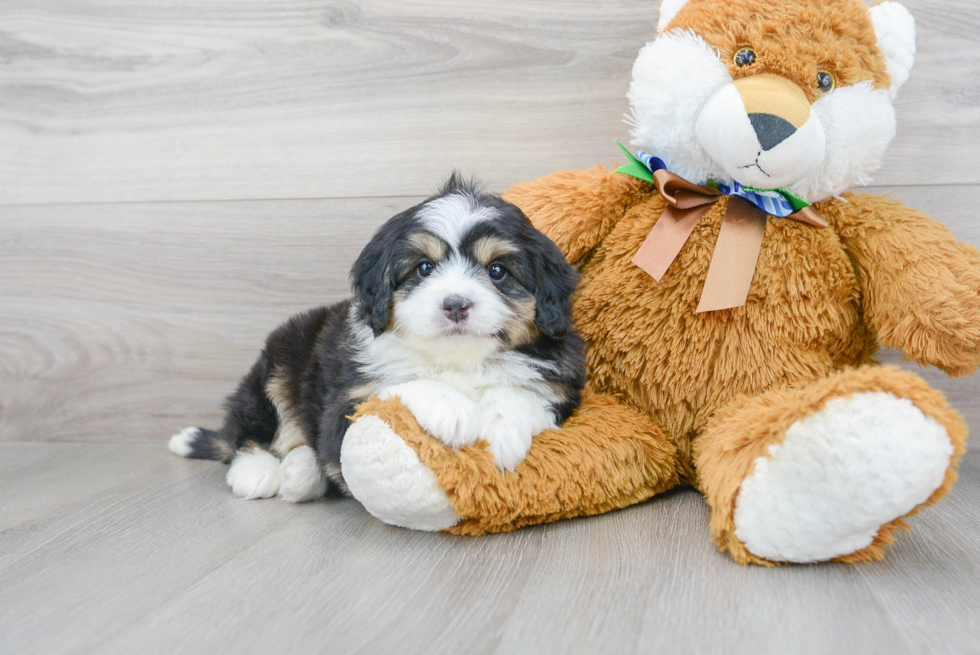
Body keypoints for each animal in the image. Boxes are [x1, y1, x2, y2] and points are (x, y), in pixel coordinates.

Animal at [169, 174, 584, 502]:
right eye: (424, 268)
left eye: (497, 271)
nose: (455, 305)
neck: (456, 359)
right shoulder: (346, 399)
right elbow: (399, 384)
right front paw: (451, 409)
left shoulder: (560, 389)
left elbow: (523, 394)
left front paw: (501, 430)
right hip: (282, 355)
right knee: (250, 427)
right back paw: (257, 470)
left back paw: (300, 472)